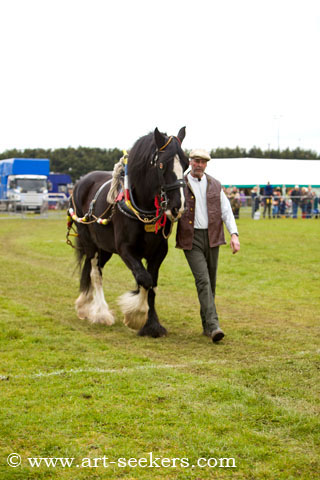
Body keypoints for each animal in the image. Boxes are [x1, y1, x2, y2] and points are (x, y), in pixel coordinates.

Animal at [68, 127, 188, 338]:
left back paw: (85, 305)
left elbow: (151, 282)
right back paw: (100, 313)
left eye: (187, 165)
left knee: (94, 270)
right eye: (162, 165)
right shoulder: (126, 250)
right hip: (90, 243)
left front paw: (152, 324)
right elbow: (144, 279)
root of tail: (82, 182)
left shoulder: (158, 252)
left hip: (105, 248)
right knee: (95, 273)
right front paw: (136, 316)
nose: (178, 207)